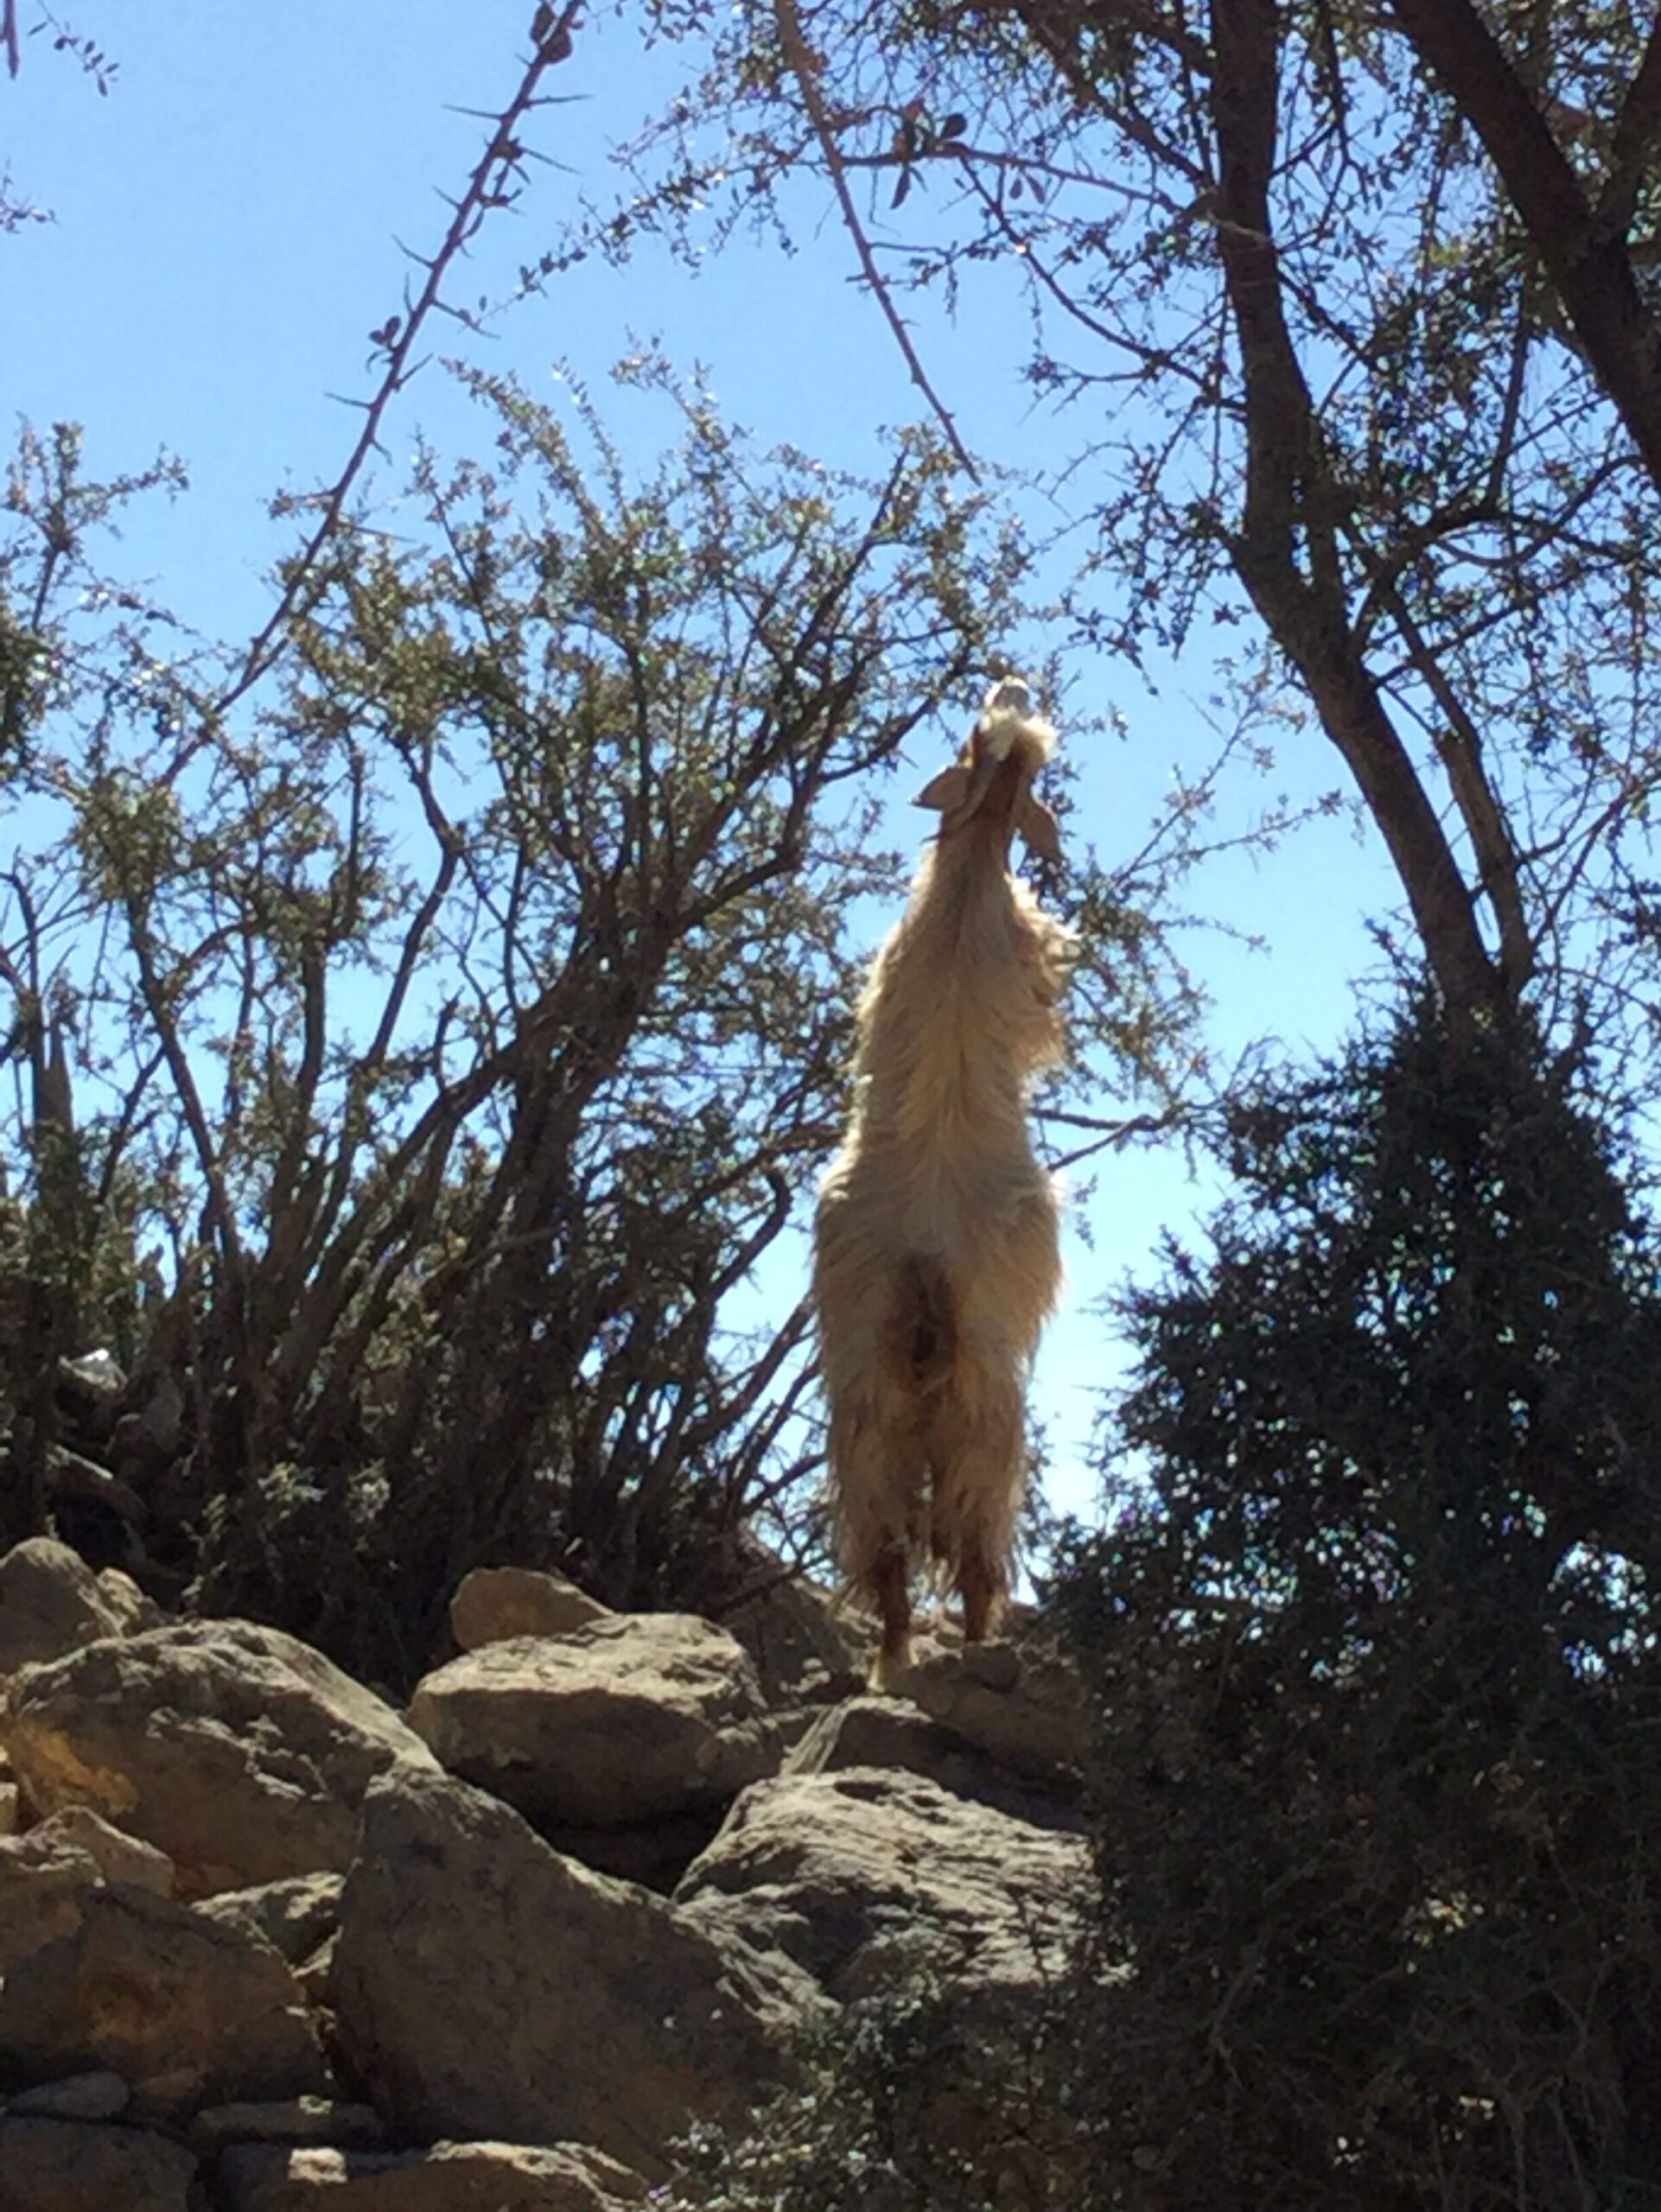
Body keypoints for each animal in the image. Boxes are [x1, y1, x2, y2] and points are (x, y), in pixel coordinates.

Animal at [813, 678, 1073, 1688]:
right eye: (977, 743)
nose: (1010, 687)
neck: (968, 881)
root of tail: (925, 1259)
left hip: (868, 1400)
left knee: (882, 1540)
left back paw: (892, 1661)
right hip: (986, 1404)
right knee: (973, 1541)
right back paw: (975, 1650)